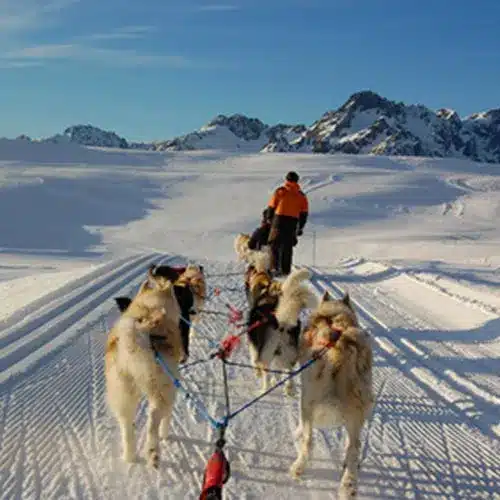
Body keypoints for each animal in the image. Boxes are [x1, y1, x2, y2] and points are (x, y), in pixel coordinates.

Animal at [104, 276, 183, 466]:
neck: (150, 305)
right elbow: (167, 418)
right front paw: (165, 434)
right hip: (162, 391)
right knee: (152, 421)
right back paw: (153, 452)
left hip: (123, 394)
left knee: (126, 427)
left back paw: (129, 456)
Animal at [292, 292, 374, 498]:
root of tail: (342, 348)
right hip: (356, 416)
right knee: (353, 448)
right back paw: (348, 485)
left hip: (308, 402)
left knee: (308, 441)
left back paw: (298, 466)